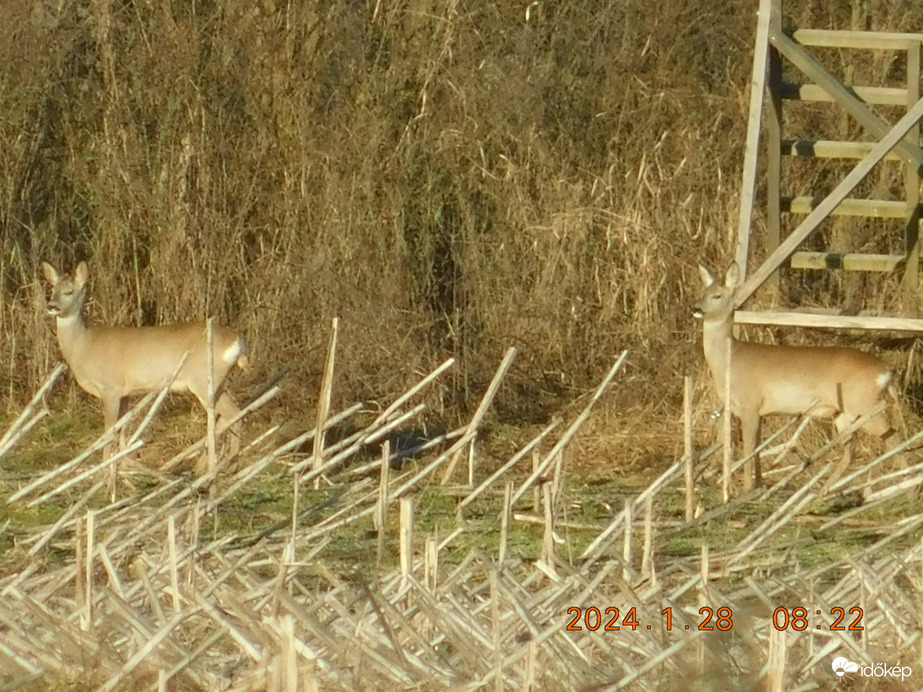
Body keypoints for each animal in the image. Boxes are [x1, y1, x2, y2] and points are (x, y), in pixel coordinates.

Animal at [42, 260, 249, 470]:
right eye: (51, 290)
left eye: (68, 292)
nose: (51, 306)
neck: (84, 346)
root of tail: (237, 342)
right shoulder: (125, 393)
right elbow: (122, 431)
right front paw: (125, 465)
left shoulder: (111, 387)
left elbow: (109, 432)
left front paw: (105, 469)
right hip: (216, 382)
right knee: (232, 414)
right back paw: (210, 465)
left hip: (203, 380)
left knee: (228, 415)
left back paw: (223, 464)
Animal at [692, 260, 896, 492]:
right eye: (703, 292)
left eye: (717, 295)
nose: (696, 308)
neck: (730, 359)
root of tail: (885, 371)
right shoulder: (759, 411)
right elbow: (758, 449)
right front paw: (760, 485)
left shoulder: (749, 405)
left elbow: (748, 450)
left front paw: (746, 489)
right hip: (843, 413)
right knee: (851, 452)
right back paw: (823, 491)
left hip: (863, 404)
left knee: (893, 437)